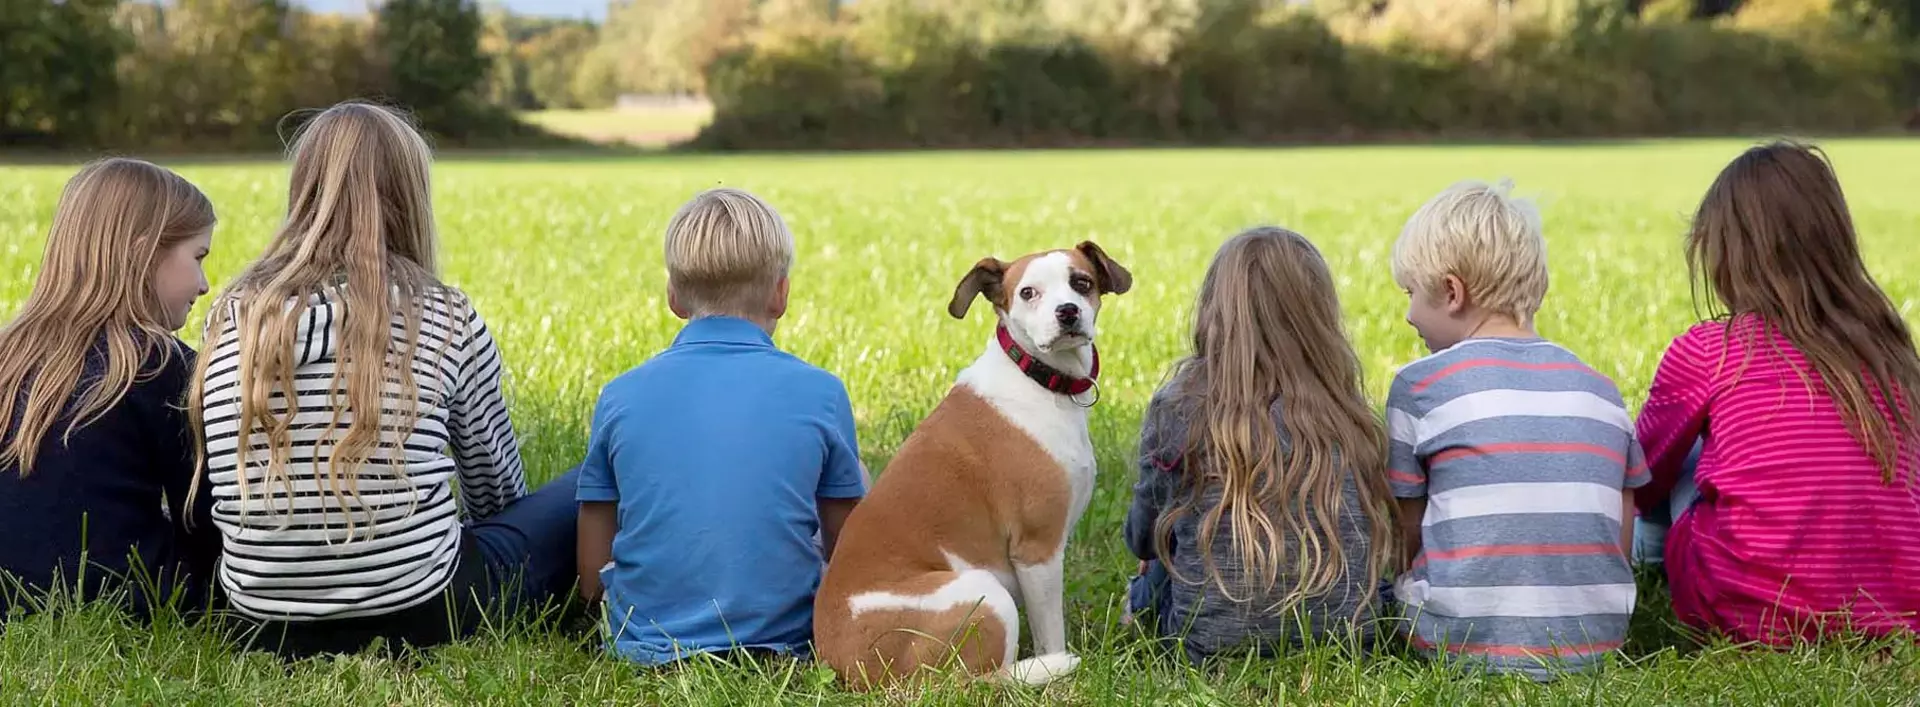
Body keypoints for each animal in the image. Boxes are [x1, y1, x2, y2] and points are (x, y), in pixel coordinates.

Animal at [806, 240, 1121, 687]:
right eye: (1028, 292)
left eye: (1082, 282)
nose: (1068, 312)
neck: (1036, 379)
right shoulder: (1037, 550)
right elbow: (1050, 631)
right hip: (984, 592)